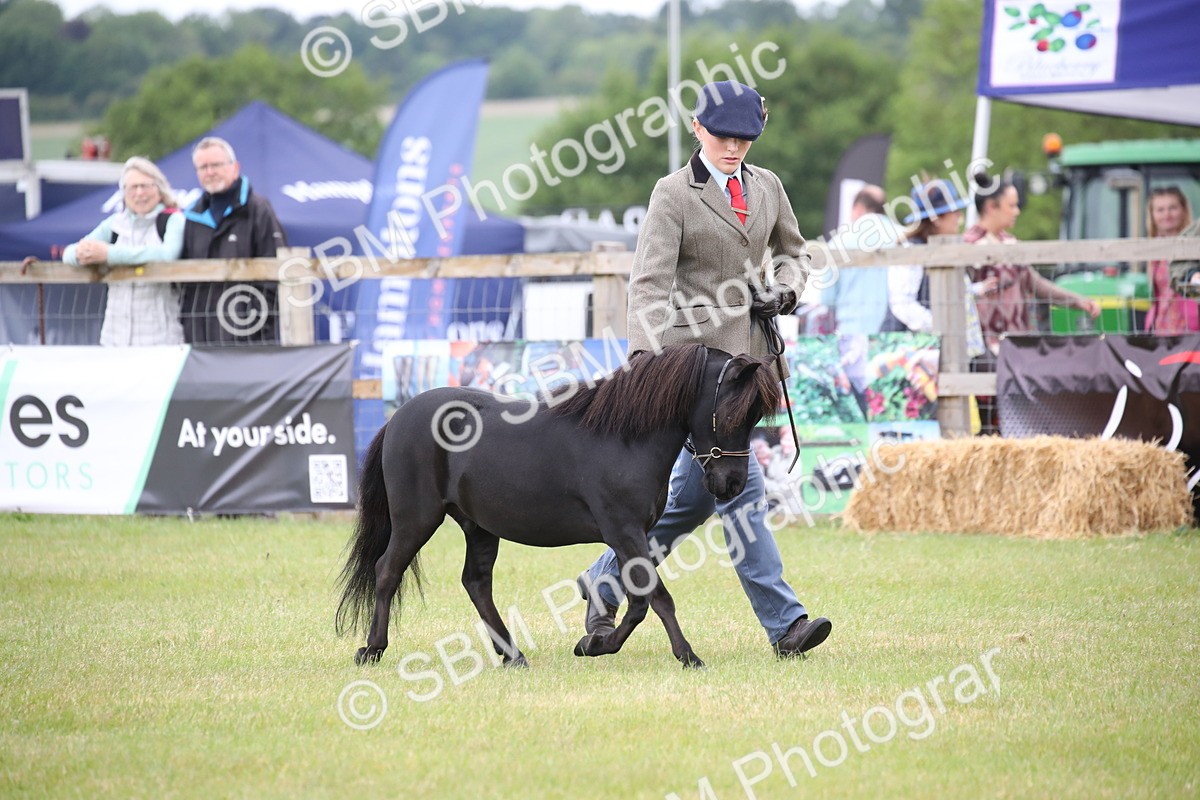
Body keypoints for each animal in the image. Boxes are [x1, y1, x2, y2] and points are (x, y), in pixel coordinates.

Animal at [336, 343, 782, 668]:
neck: (624, 437)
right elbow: (653, 596)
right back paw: (372, 650)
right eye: (733, 414)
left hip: (478, 526)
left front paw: (595, 642)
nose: (732, 483)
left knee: (476, 583)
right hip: (416, 518)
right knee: (387, 571)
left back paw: (512, 655)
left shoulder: (636, 535)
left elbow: (641, 597)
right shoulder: (624, 531)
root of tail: (398, 418)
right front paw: (679, 654)